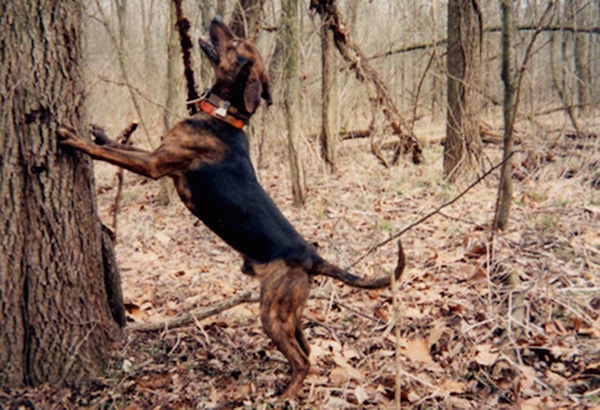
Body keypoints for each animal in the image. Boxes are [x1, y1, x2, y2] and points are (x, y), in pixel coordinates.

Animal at [58, 16, 406, 398]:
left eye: (237, 42)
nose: (215, 19)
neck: (225, 116)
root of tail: (312, 257)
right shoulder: (156, 155)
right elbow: (121, 147)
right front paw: (100, 132)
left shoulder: (155, 164)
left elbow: (110, 153)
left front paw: (73, 138)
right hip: (291, 312)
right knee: (308, 348)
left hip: (272, 313)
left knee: (303, 360)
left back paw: (285, 396)